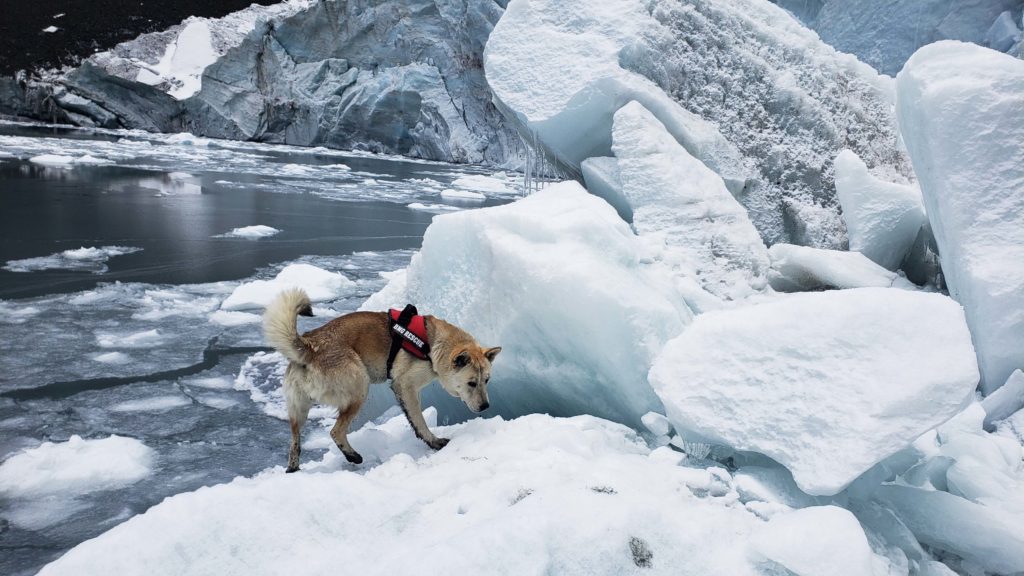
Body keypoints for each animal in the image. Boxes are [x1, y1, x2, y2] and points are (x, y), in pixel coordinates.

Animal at [264, 286, 499, 471]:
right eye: (471, 383)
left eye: (487, 380)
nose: (486, 406)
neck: (432, 344)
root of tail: (309, 347)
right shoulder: (405, 385)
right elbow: (419, 419)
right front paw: (433, 441)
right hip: (359, 387)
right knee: (335, 431)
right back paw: (353, 455)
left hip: (298, 410)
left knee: (295, 442)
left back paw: (293, 468)